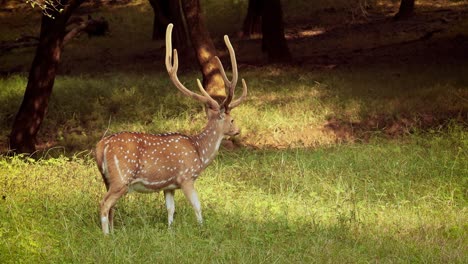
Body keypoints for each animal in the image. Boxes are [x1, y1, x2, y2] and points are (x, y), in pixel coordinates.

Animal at [96, 24, 249, 235]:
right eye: (232, 119)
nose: (238, 130)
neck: (200, 152)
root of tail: (100, 146)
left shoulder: (168, 186)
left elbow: (170, 209)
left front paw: (170, 231)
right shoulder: (186, 177)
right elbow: (197, 206)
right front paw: (202, 229)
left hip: (107, 179)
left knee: (111, 206)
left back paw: (114, 232)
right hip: (121, 178)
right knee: (104, 204)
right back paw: (106, 236)